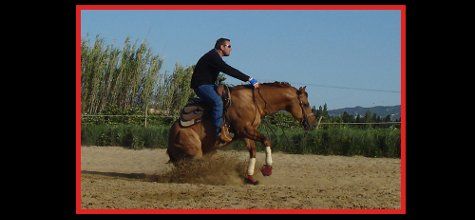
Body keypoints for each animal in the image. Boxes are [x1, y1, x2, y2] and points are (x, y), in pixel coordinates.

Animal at [165, 81, 318, 184]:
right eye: (305, 104)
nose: (313, 123)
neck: (254, 101)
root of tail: (171, 137)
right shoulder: (245, 129)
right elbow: (266, 140)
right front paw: (267, 168)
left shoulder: (245, 133)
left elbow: (253, 151)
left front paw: (250, 177)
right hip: (194, 152)